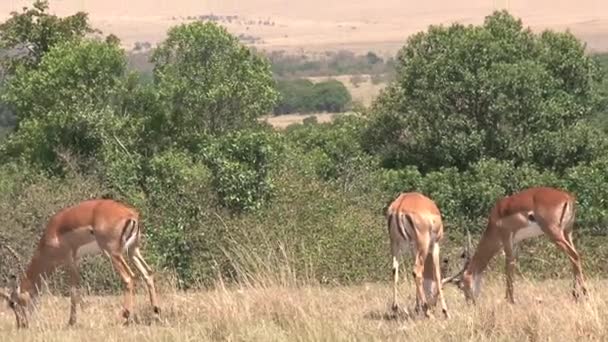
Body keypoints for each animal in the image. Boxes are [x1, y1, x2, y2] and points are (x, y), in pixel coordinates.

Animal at [0, 199, 159, 328]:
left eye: (13, 303)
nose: (21, 325)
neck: (53, 233)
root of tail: (131, 214)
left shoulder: (69, 260)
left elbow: (73, 290)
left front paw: (71, 322)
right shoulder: (76, 259)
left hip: (113, 253)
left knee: (129, 277)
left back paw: (126, 318)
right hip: (132, 250)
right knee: (148, 273)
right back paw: (156, 315)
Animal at [388, 191, 448, 320]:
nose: (433, 305)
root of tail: (401, 206)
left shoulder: (414, 248)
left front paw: (417, 308)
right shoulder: (435, 245)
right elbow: (437, 275)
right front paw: (446, 312)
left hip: (395, 244)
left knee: (395, 270)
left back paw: (395, 309)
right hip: (423, 245)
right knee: (417, 271)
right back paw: (428, 312)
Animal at [444, 187, 588, 304]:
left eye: (462, 286)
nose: (470, 302)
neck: (495, 219)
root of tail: (567, 197)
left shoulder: (506, 239)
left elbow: (508, 268)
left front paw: (509, 300)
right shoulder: (516, 242)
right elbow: (513, 265)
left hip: (554, 233)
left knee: (574, 256)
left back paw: (585, 295)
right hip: (567, 232)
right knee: (574, 258)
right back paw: (575, 296)